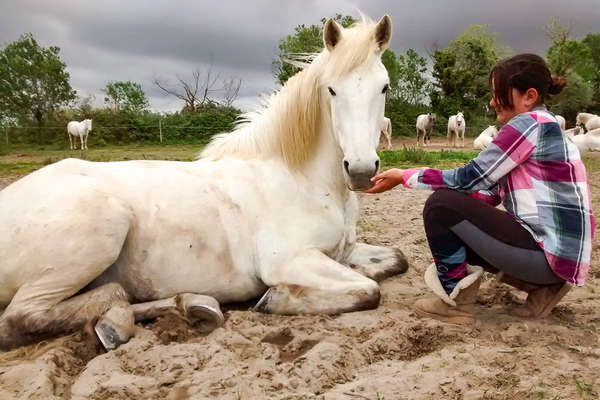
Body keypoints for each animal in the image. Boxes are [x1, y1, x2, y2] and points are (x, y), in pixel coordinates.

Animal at [0, 14, 408, 350]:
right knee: (21, 317)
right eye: (331, 89)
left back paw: (187, 306)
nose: (360, 169)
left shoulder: (341, 252)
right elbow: (368, 290)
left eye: (384, 87)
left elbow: (396, 261)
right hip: (98, 233)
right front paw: (276, 299)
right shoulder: (290, 261)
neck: (302, 180)